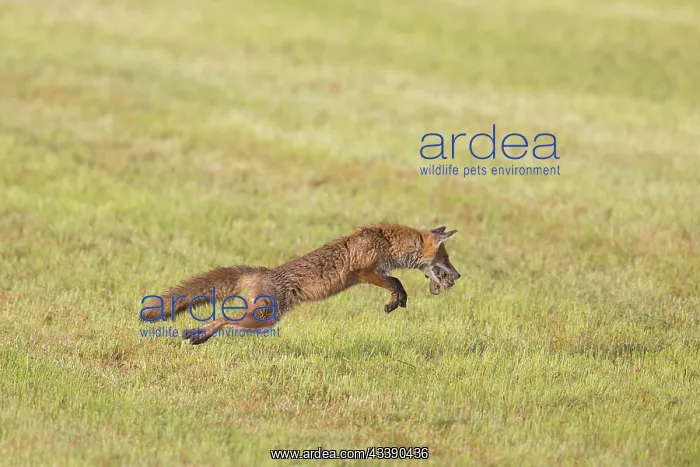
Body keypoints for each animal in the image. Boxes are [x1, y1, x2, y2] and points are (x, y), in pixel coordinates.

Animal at [142, 224, 460, 345]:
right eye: (446, 257)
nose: (457, 276)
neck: (387, 240)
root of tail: (265, 271)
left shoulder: (371, 273)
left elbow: (395, 282)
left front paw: (398, 300)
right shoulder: (363, 271)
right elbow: (395, 280)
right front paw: (397, 298)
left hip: (261, 318)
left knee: (223, 318)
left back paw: (197, 334)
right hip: (264, 319)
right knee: (224, 318)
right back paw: (199, 334)